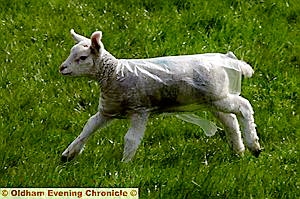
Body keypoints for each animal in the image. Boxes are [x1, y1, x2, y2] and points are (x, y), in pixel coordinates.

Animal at [59, 29, 262, 163]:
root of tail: (227, 60)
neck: (114, 74)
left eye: (82, 58)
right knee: (231, 121)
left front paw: (124, 165)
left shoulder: (140, 110)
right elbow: (88, 127)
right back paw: (238, 150)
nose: (62, 68)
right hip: (213, 99)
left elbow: (131, 138)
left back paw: (254, 146)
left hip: (218, 97)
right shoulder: (108, 110)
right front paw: (68, 154)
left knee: (244, 107)